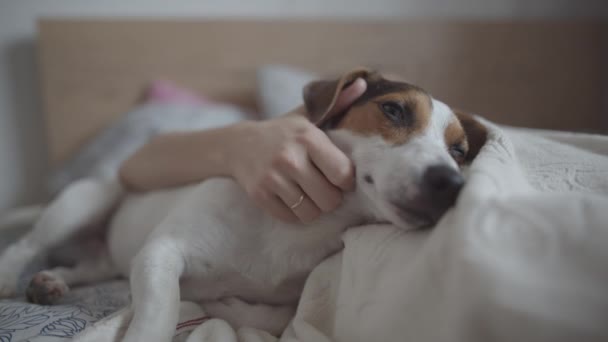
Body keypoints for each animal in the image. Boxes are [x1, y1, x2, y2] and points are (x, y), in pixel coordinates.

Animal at [0, 68, 484, 340]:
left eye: (459, 150)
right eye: (395, 111)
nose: (451, 183)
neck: (299, 224)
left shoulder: (287, 299)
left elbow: (268, 316)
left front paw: (225, 306)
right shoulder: (161, 253)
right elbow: (160, 311)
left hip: (105, 255)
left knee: (88, 268)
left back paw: (52, 281)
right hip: (87, 199)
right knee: (28, 244)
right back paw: (12, 276)